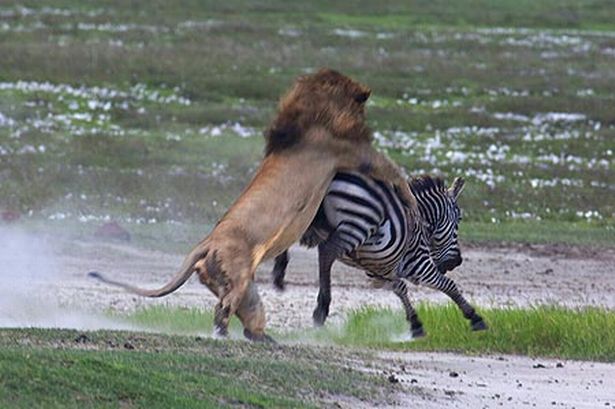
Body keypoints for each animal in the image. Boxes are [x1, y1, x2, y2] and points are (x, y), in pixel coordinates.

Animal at [90, 67, 418, 342]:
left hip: (247, 290)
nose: (366, 93)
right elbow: (394, 171)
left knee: (248, 318)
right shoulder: (351, 151)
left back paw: (265, 339)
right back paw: (223, 334)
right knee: (222, 308)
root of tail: (206, 243)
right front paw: (412, 205)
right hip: (237, 277)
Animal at [272, 171, 488, 336]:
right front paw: (474, 317)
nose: (456, 262)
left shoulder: (379, 270)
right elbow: (448, 285)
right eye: (459, 220)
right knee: (326, 251)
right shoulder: (418, 266)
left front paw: (415, 323)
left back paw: (279, 273)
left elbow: (400, 288)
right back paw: (321, 307)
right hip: (357, 226)